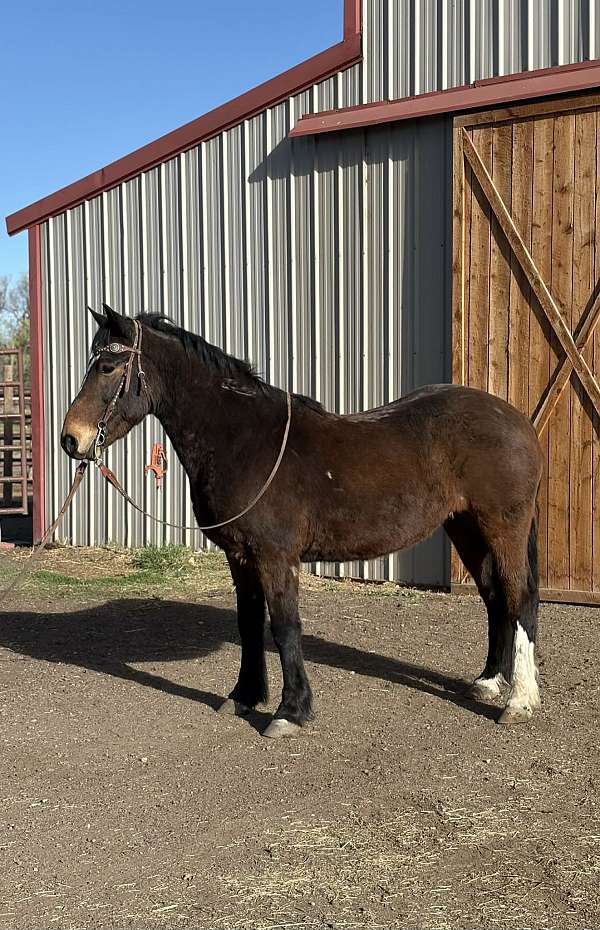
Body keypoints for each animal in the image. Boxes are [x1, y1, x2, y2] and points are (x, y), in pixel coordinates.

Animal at [61, 304, 543, 738]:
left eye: (107, 366)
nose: (72, 439)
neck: (244, 440)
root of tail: (515, 419)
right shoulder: (240, 557)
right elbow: (249, 623)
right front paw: (244, 695)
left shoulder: (275, 557)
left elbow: (284, 627)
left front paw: (290, 712)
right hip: (465, 527)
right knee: (494, 596)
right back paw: (488, 682)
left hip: (501, 526)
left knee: (519, 596)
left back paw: (518, 700)